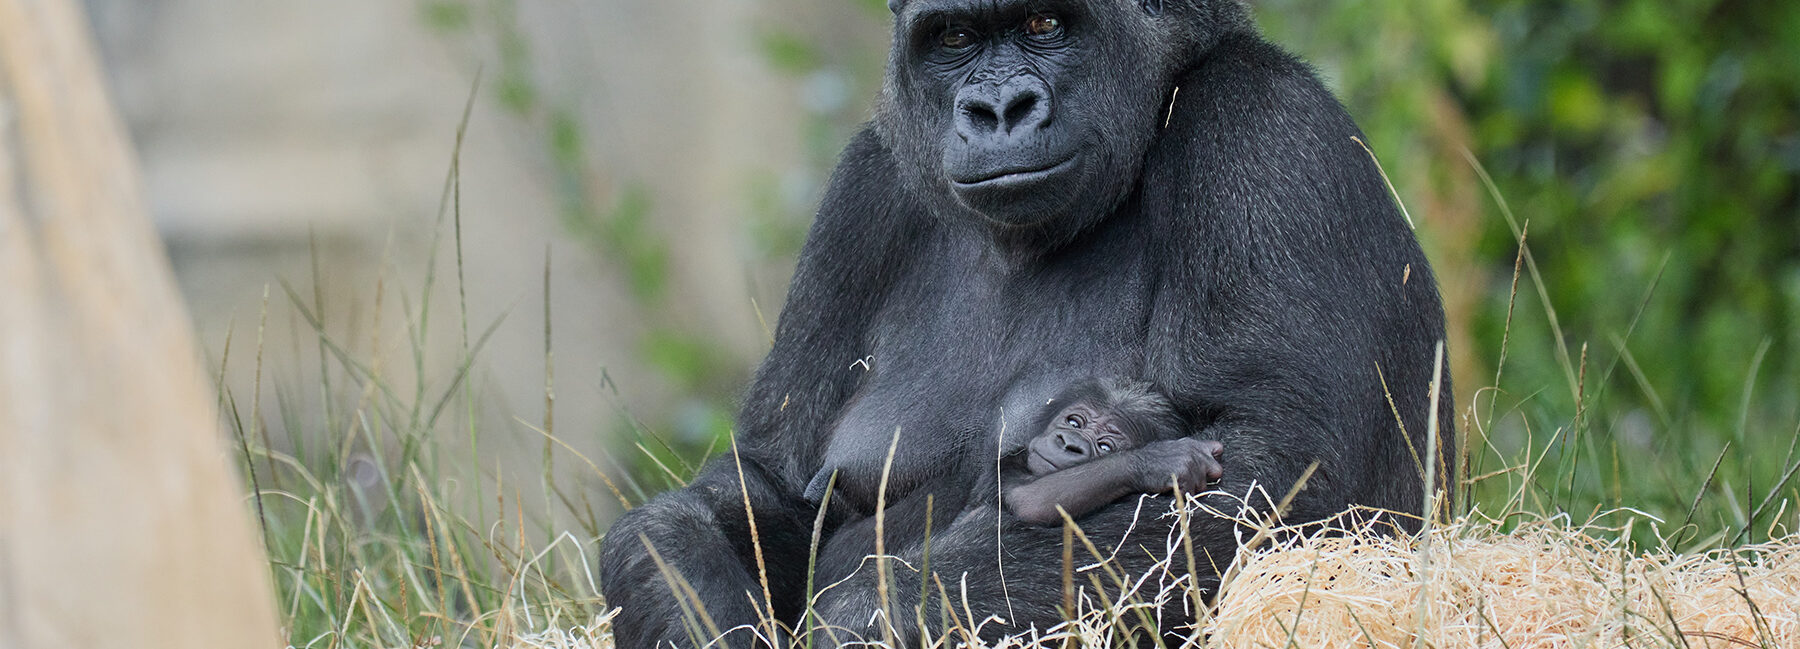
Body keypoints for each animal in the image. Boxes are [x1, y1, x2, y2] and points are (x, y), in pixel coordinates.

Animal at [1008, 377, 1231, 524]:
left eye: (1105, 446)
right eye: (1074, 423)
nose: (1070, 443)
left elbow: (1031, 501)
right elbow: (1029, 499)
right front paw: (1164, 459)